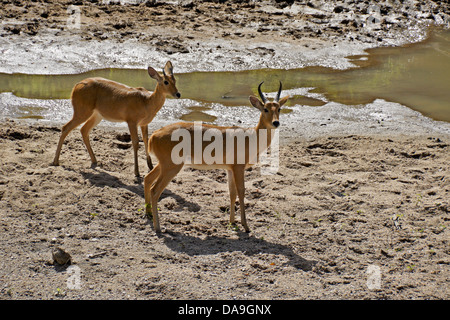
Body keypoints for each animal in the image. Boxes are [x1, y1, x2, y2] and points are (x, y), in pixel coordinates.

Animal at [51, 61, 180, 176]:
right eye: (165, 81)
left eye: (175, 80)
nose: (178, 94)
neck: (147, 101)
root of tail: (77, 85)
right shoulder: (131, 122)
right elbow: (135, 143)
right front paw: (137, 173)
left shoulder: (144, 123)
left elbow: (146, 140)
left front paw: (151, 167)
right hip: (82, 112)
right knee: (65, 127)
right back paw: (55, 162)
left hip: (96, 115)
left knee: (83, 130)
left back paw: (94, 161)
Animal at [143, 82, 288, 232]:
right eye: (265, 109)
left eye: (279, 108)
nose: (276, 123)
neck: (251, 136)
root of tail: (154, 135)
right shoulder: (238, 168)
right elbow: (241, 192)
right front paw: (246, 226)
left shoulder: (230, 169)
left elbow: (232, 193)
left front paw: (232, 222)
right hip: (171, 167)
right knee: (155, 190)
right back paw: (158, 227)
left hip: (163, 165)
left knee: (147, 179)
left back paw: (148, 214)